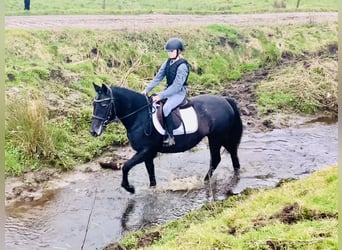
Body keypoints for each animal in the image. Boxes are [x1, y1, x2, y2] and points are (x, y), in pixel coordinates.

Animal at [89, 83, 242, 193]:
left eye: (104, 104)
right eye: (94, 104)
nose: (94, 131)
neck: (140, 116)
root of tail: (225, 100)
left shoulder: (145, 151)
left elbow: (126, 167)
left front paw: (129, 188)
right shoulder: (147, 153)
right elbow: (151, 173)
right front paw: (152, 189)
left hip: (216, 138)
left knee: (216, 159)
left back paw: (204, 181)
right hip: (221, 137)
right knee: (232, 152)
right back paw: (235, 172)